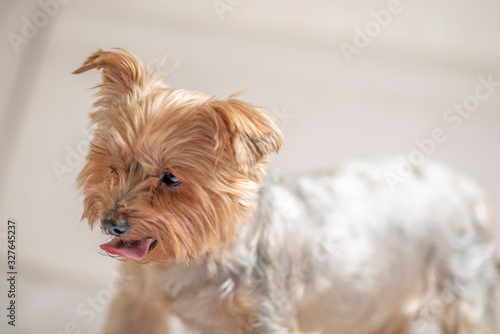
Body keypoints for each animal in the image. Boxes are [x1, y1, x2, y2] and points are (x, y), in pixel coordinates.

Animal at [72, 48, 498, 332]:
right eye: (112, 164)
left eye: (171, 178)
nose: (111, 223)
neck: (198, 255)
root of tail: (471, 190)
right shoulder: (138, 302)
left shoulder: (268, 314)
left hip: (464, 296)